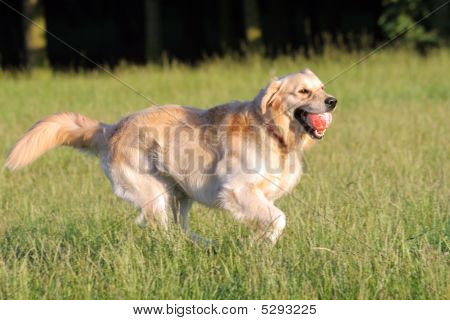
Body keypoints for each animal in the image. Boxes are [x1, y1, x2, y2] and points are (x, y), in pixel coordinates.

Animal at [5, 69, 336, 245]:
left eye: (322, 87)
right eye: (304, 92)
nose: (333, 101)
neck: (273, 131)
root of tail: (112, 128)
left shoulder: (258, 195)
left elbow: (267, 219)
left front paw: (256, 243)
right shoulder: (238, 190)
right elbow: (278, 218)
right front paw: (262, 245)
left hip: (181, 194)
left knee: (181, 229)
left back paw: (204, 245)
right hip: (154, 193)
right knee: (163, 233)